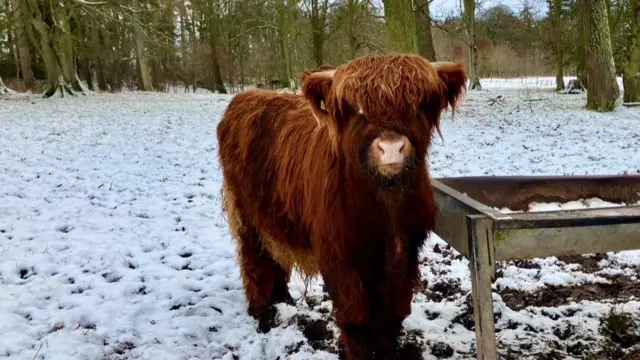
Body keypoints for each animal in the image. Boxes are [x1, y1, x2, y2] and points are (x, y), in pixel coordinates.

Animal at [218, 54, 468, 360]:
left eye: (419, 104)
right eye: (357, 108)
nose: (391, 148)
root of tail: (246, 97)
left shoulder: (407, 250)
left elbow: (393, 313)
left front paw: (387, 351)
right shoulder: (338, 254)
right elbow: (356, 319)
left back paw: (282, 299)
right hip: (246, 215)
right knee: (253, 261)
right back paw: (261, 314)